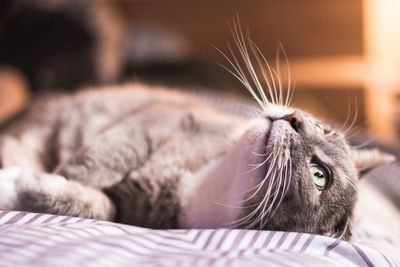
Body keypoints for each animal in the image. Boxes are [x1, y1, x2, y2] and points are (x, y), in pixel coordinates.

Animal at [0, 22, 394, 243]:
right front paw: (66, 171)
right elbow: (111, 154)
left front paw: (30, 182)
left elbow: (96, 206)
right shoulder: (170, 118)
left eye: (319, 175)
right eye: (322, 126)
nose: (296, 118)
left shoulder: (135, 209)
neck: (211, 186)